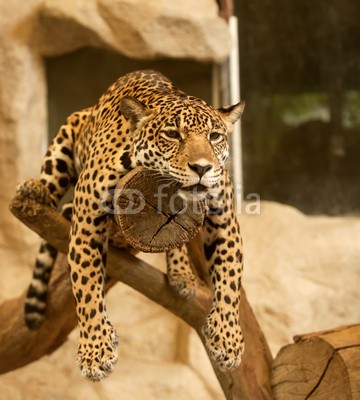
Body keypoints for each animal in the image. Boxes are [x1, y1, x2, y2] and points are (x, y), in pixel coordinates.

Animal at [19, 69, 245, 382]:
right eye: (172, 135)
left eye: (215, 137)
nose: (202, 168)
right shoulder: (87, 217)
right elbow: (86, 284)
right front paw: (95, 352)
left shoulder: (225, 220)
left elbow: (230, 278)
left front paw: (227, 339)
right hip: (67, 132)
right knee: (53, 183)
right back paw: (38, 191)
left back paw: (181, 273)